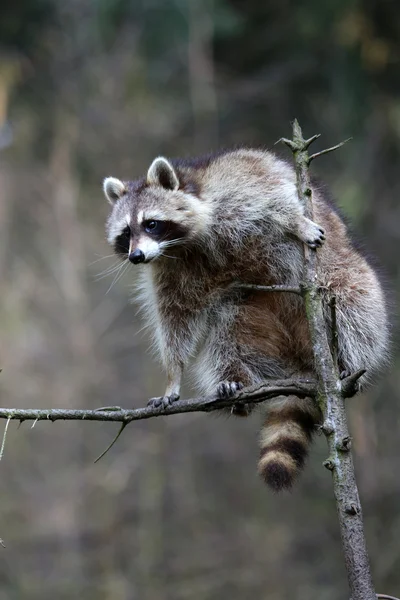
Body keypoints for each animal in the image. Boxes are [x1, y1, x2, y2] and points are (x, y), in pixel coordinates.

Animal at [103, 148, 390, 490]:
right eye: (126, 233)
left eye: (151, 224)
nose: (136, 257)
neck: (185, 244)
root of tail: (302, 362)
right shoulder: (169, 271)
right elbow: (176, 319)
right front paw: (173, 376)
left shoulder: (237, 185)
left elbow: (274, 199)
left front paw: (296, 221)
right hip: (253, 317)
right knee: (229, 331)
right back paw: (236, 384)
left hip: (347, 277)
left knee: (352, 305)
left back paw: (347, 360)